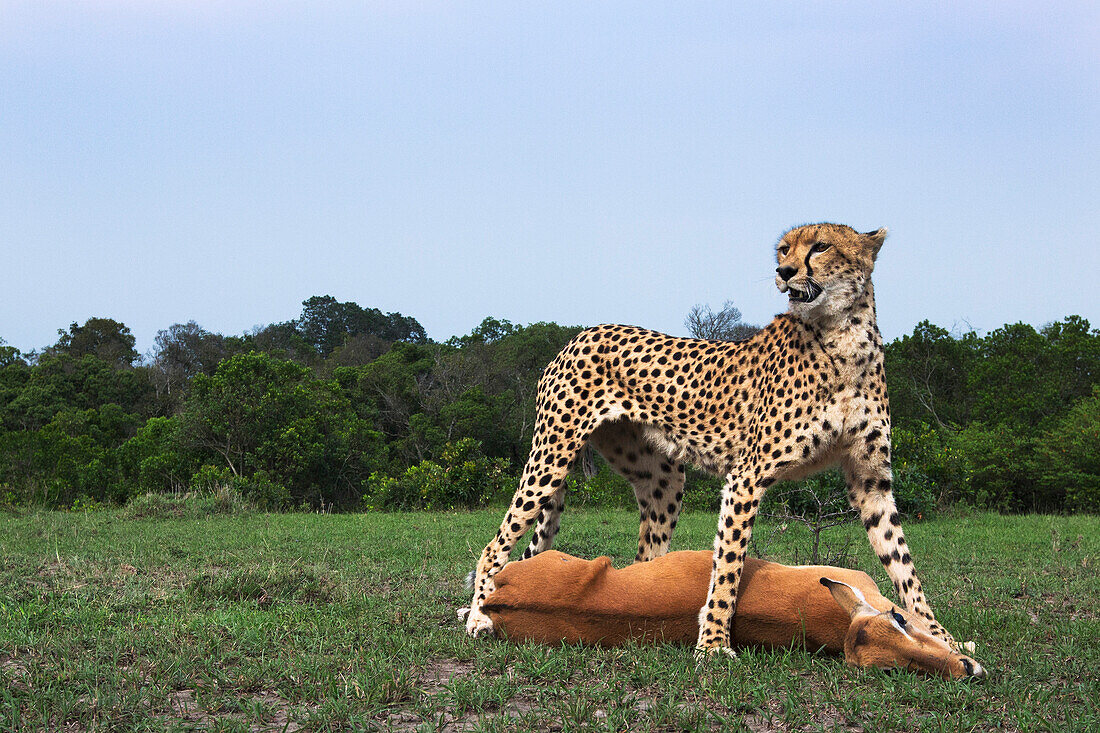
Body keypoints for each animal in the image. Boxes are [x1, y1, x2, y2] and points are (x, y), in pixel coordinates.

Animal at [459, 221, 959, 651]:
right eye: (783, 249)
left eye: (820, 246)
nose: (784, 272)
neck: (844, 337)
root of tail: (579, 335)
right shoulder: (747, 477)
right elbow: (729, 566)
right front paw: (715, 644)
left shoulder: (871, 482)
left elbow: (904, 566)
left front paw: (942, 638)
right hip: (552, 456)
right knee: (494, 547)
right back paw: (480, 615)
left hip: (662, 480)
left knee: (641, 565)